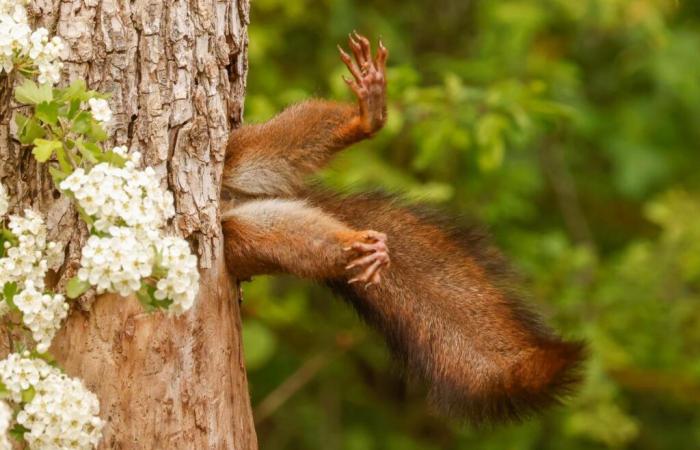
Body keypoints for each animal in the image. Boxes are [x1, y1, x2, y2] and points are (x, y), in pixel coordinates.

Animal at [220, 32, 584, 426]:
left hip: (238, 154)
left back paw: (366, 117)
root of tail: (231, 200)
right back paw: (359, 247)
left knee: (282, 142)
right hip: (243, 237)